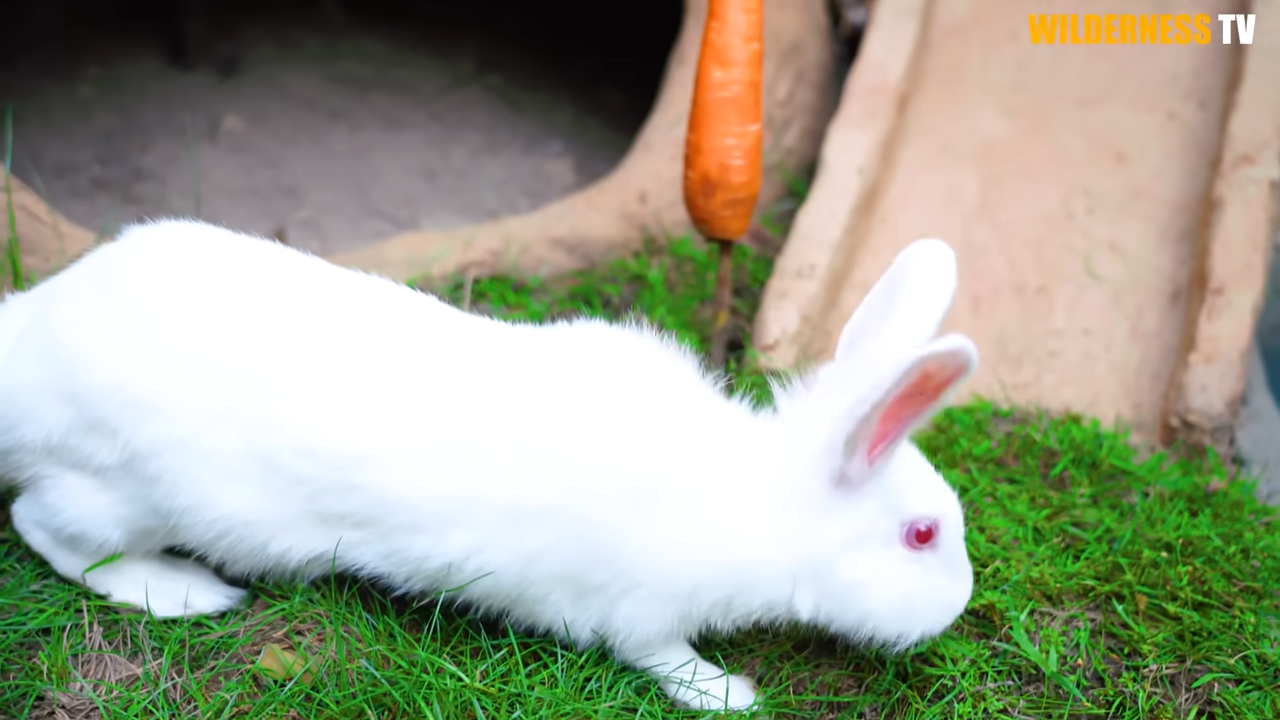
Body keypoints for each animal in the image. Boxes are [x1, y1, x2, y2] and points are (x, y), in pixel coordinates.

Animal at [0, 218, 979, 713]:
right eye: (921, 535)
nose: (959, 605)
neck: (761, 502)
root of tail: (27, 348)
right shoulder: (641, 613)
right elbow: (663, 658)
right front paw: (729, 692)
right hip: (129, 494)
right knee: (48, 530)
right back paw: (183, 592)